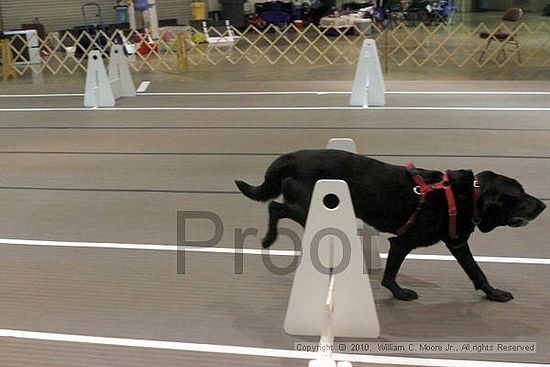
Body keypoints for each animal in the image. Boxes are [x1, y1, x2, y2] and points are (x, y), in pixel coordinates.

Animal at [237, 150, 548, 302]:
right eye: (519, 196)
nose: (543, 206)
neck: (464, 196)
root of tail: (291, 158)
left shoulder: (457, 242)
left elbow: (476, 271)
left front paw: (493, 294)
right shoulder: (403, 241)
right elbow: (390, 274)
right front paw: (399, 293)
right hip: (310, 206)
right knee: (275, 207)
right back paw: (268, 239)